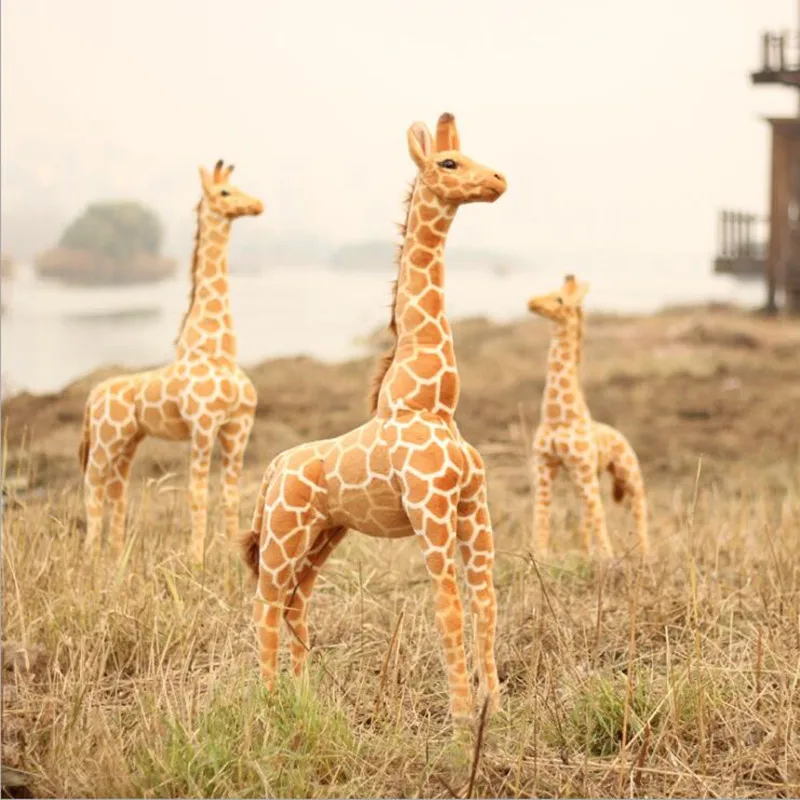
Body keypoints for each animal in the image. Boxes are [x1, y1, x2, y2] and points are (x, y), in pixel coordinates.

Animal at [79, 160, 263, 564]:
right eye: (225, 192)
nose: (258, 205)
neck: (218, 351)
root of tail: (92, 395)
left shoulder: (238, 427)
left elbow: (230, 497)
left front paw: (234, 556)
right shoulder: (203, 426)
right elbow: (197, 495)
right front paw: (196, 560)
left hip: (128, 441)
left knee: (116, 490)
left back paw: (115, 554)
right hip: (104, 439)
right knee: (92, 486)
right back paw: (89, 556)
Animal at [239, 113, 507, 724]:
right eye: (449, 162)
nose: (499, 180)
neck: (431, 401)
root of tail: (273, 469)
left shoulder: (471, 505)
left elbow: (486, 603)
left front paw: (496, 709)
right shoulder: (431, 507)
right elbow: (449, 608)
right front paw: (462, 720)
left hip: (324, 533)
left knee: (296, 602)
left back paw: (304, 700)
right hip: (285, 530)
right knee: (266, 603)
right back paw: (268, 704)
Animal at [527, 274, 649, 560]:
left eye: (559, 299)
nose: (531, 303)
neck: (557, 417)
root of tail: (620, 434)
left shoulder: (581, 466)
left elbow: (599, 513)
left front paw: (608, 558)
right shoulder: (544, 465)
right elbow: (541, 513)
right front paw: (538, 556)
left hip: (627, 471)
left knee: (637, 505)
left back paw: (646, 555)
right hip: (584, 475)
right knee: (586, 512)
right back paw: (585, 552)